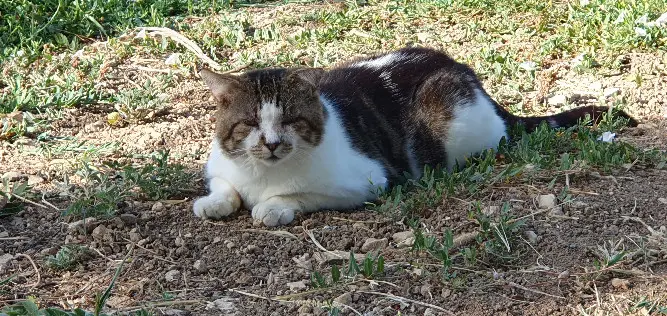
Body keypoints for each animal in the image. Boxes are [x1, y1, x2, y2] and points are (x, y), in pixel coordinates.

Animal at [192, 45, 636, 226]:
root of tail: (465, 71)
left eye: (289, 121)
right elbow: (225, 185)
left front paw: (272, 207)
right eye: (250, 123)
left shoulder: (367, 181)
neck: (263, 173)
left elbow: (297, 195)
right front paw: (215, 202)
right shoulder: (221, 166)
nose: (271, 143)